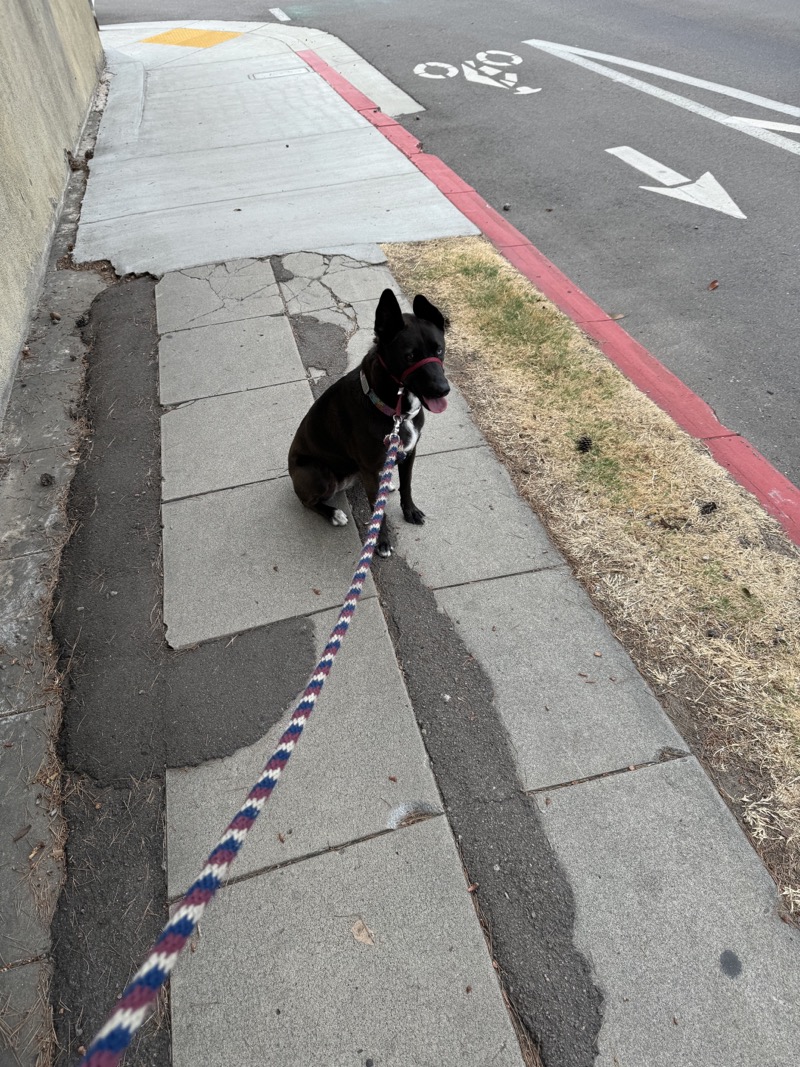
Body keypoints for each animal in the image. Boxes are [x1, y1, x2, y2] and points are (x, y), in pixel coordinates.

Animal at [290, 290, 452, 559]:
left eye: (439, 350)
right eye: (409, 356)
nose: (443, 389)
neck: (394, 410)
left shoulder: (409, 453)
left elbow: (407, 486)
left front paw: (410, 511)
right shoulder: (368, 468)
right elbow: (378, 512)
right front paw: (381, 542)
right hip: (318, 474)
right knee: (307, 502)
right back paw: (333, 513)